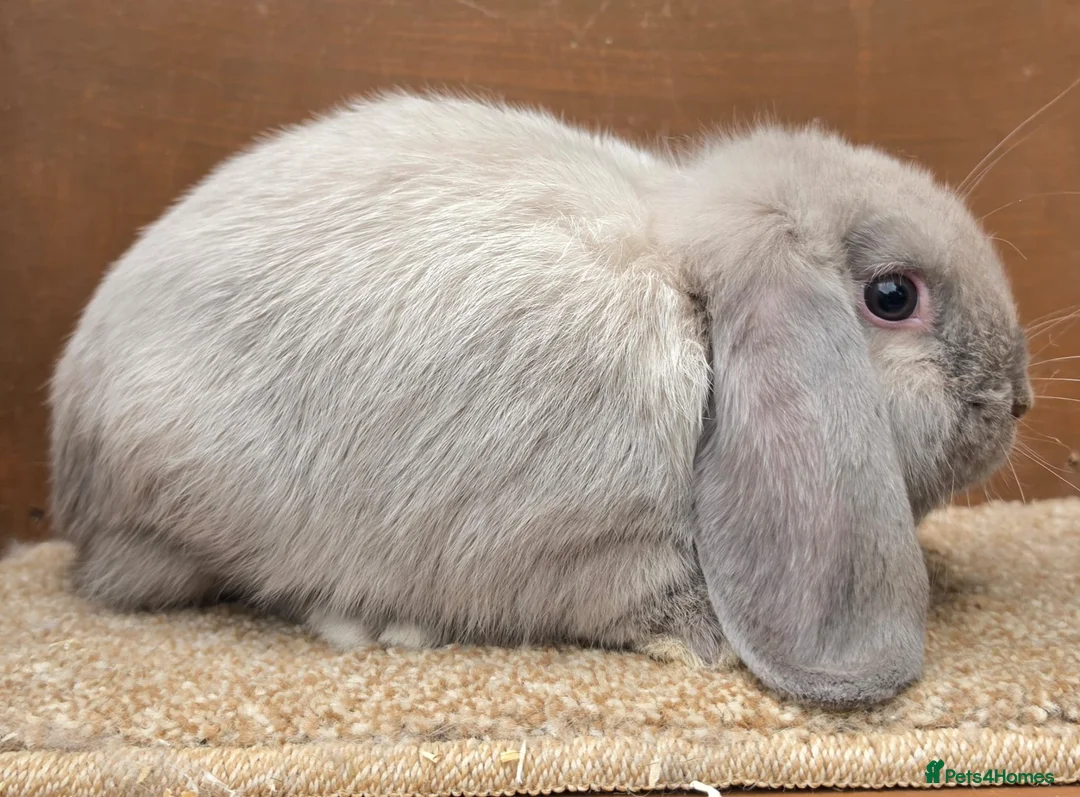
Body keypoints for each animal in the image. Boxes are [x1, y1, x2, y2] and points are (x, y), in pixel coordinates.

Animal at [48, 91, 1032, 707]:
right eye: (893, 296)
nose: (1016, 398)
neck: (695, 315)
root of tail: (73, 449)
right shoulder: (587, 539)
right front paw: (705, 640)